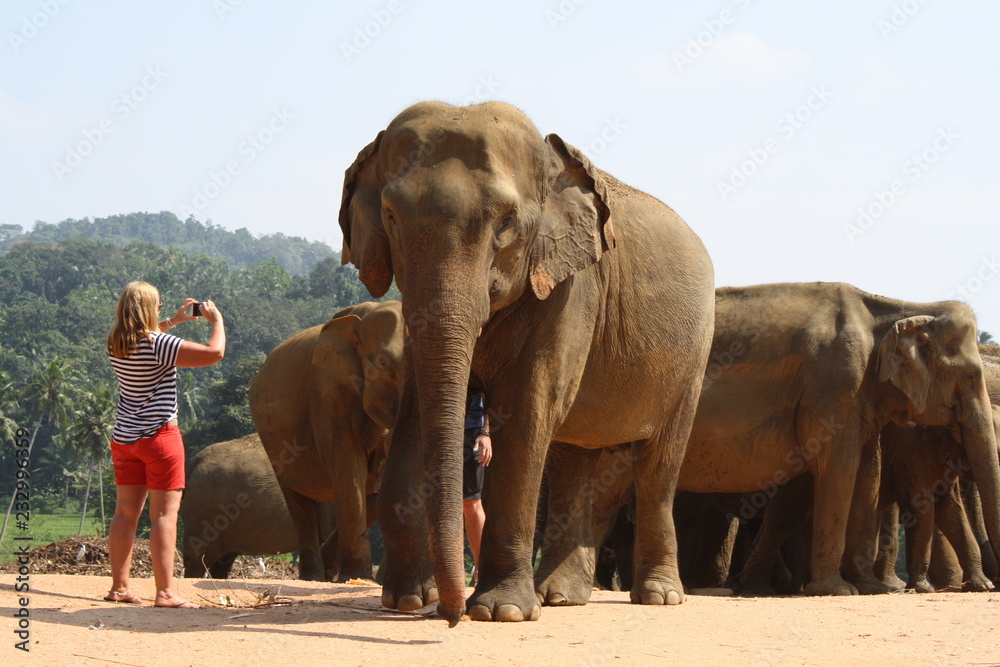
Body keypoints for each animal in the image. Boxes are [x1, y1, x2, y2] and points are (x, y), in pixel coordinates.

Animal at [249, 300, 403, 582]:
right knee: (299, 504)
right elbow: (348, 468)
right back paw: (312, 576)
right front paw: (358, 577)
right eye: (383, 362)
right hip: (274, 445)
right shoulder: (327, 391)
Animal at [340, 101, 716, 623]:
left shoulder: (571, 288)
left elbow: (526, 414)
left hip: (693, 357)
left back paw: (658, 597)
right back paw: (559, 596)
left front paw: (500, 612)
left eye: (505, 222)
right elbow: (414, 415)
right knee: (574, 456)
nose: (449, 616)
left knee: (659, 463)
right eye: (391, 216)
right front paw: (408, 599)